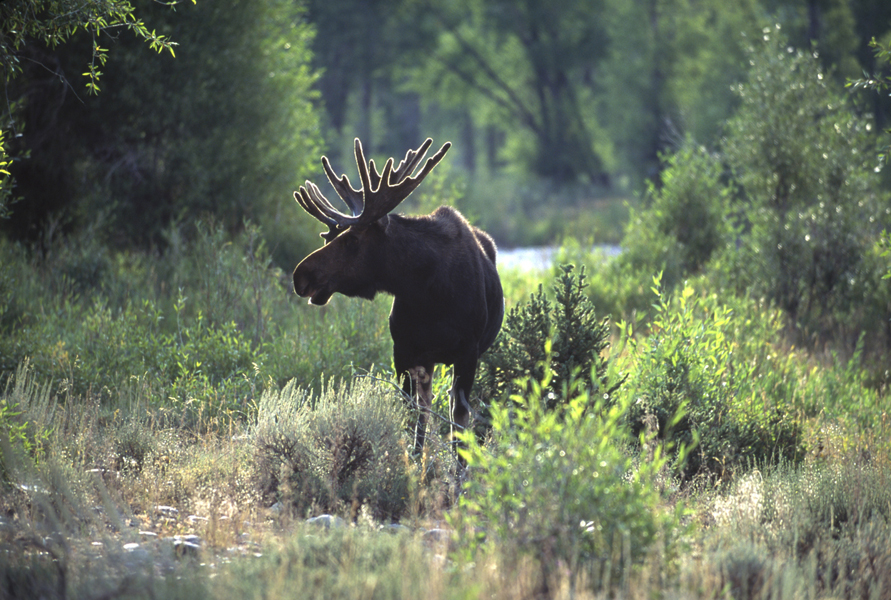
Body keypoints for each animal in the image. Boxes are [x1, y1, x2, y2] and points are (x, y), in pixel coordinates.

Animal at [290, 137, 502, 454]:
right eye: (335, 236)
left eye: (353, 239)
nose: (300, 275)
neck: (426, 293)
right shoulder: (403, 351)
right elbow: (411, 418)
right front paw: (412, 462)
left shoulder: (469, 352)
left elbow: (460, 426)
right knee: (426, 409)